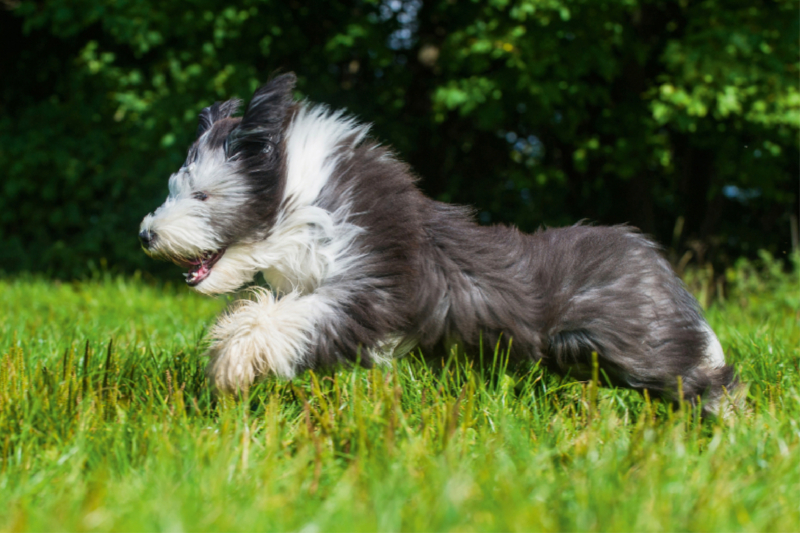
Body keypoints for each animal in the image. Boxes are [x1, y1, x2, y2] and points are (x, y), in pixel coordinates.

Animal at [141, 71, 740, 416]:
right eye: (173, 189)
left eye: (202, 194)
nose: (147, 233)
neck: (306, 201)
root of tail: (649, 254)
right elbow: (270, 307)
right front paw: (229, 340)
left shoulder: (373, 290)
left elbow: (298, 318)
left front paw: (232, 362)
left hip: (632, 345)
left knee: (703, 375)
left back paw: (729, 426)